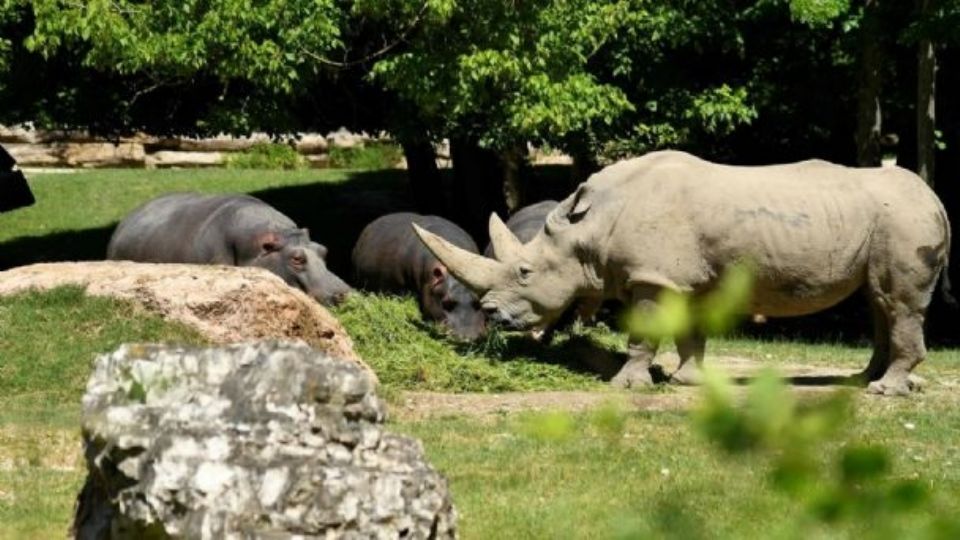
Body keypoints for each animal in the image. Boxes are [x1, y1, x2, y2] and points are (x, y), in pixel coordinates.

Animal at [414, 150, 952, 394]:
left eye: (525, 272)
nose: (490, 314)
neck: (592, 228)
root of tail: (936, 199)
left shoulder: (652, 277)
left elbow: (644, 333)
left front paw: (627, 385)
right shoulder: (681, 278)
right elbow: (689, 333)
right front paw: (687, 381)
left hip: (905, 222)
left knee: (899, 303)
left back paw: (885, 391)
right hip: (892, 223)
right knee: (879, 300)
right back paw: (861, 380)